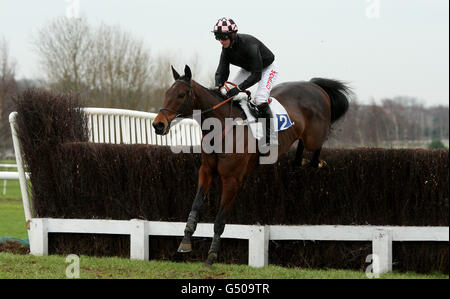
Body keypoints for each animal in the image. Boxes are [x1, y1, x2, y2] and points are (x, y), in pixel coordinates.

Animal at [152, 65, 352, 268]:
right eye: (167, 93)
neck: (222, 127)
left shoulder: (232, 180)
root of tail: (315, 86)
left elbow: (220, 220)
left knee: (317, 145)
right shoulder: (206, 171)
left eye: (181, 95)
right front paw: (184, 242)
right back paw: (299, 161)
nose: (158, 125)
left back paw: (315, 162)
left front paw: (211, 256)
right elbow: (195, 206)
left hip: (314, 135)